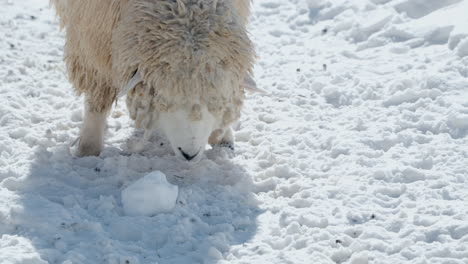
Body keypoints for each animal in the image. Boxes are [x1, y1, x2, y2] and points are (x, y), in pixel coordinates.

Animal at [52, 0, 256, 161]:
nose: (189, 155)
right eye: (163, 100)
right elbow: (97, 98)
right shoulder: (92, 35)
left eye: (217, 101)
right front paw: (88, 149)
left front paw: (221, 136)